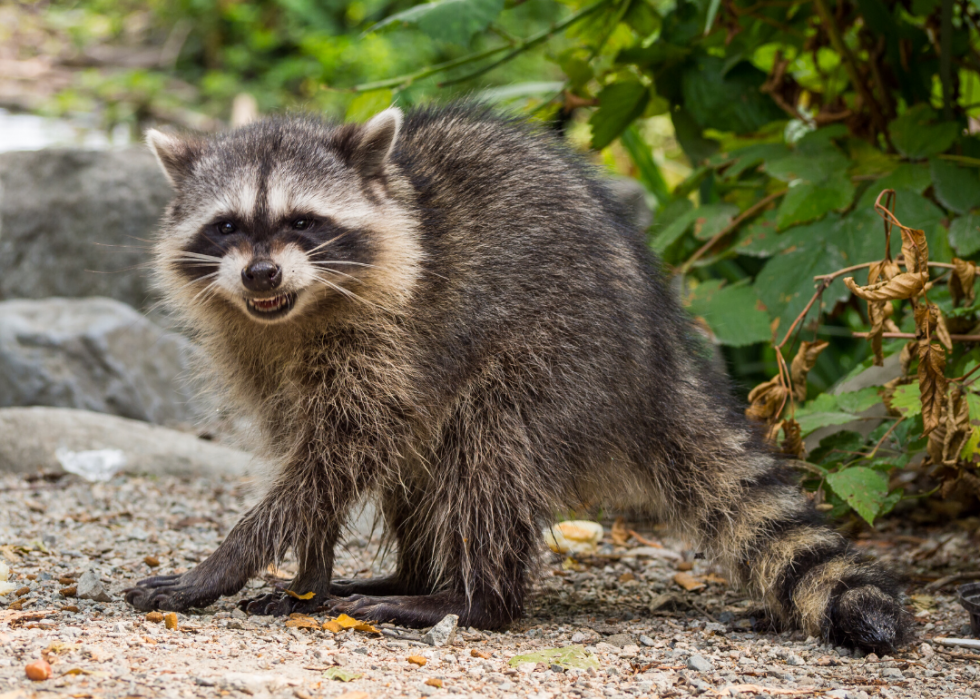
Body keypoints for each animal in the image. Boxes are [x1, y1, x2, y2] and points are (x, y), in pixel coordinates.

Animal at [124, 102, 912, 652]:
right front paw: (307, 577)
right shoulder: (259, 355)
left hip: (558, 360)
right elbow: (314, 461)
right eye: (227, 226)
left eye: (302, 222)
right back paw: (410, 575)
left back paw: (466, 600)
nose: (261, 273)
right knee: (427, 465)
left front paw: (227, 561)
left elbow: (338, 456)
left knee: (488, 453)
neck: (295, 313)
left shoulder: (392, 338)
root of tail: (659, 363)